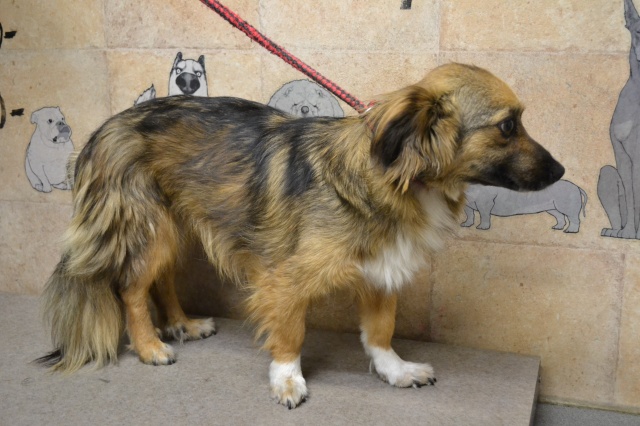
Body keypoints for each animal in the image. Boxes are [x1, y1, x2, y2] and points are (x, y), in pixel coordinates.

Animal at [37, 63, 564, 409]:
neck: (398, 177)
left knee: (161, 282)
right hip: (152, 230)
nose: (560, 171)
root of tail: (102, 131)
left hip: (177, 226)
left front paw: (395, 370)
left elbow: (380, 332)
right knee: (130, 288)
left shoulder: (380, 269)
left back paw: (183, 324)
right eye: (507, 125)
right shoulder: (283, 279)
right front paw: (287, 380)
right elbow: (291, 332)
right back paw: (150, 346)